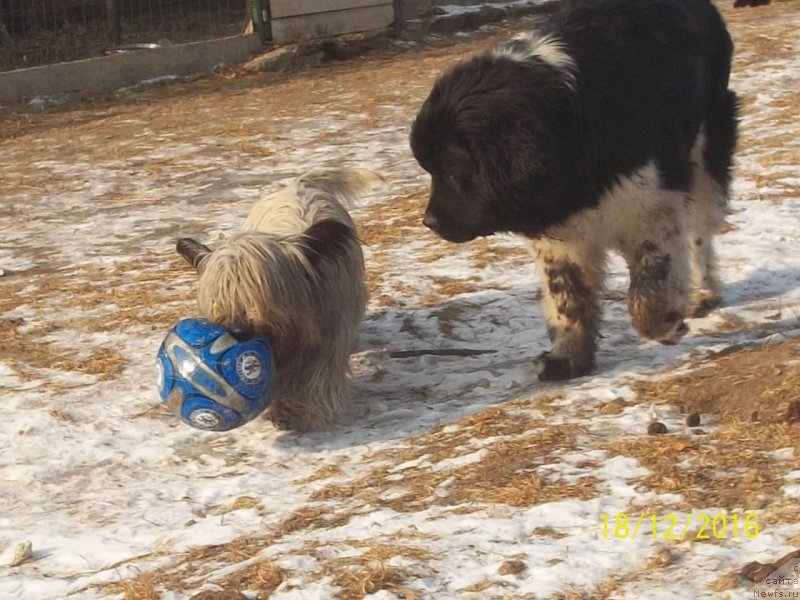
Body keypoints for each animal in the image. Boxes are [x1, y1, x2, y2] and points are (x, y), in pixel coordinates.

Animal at [412, 0, 736, 380]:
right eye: (429, 169)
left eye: (451, 171)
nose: (430, 222)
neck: (567, 124)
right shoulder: (560, 235)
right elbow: (567, 296)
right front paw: (568, 357)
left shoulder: (651, 208)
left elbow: (649, 286)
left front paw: (666, 325)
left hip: (706, 149)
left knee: (701, 232)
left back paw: (705, 290)